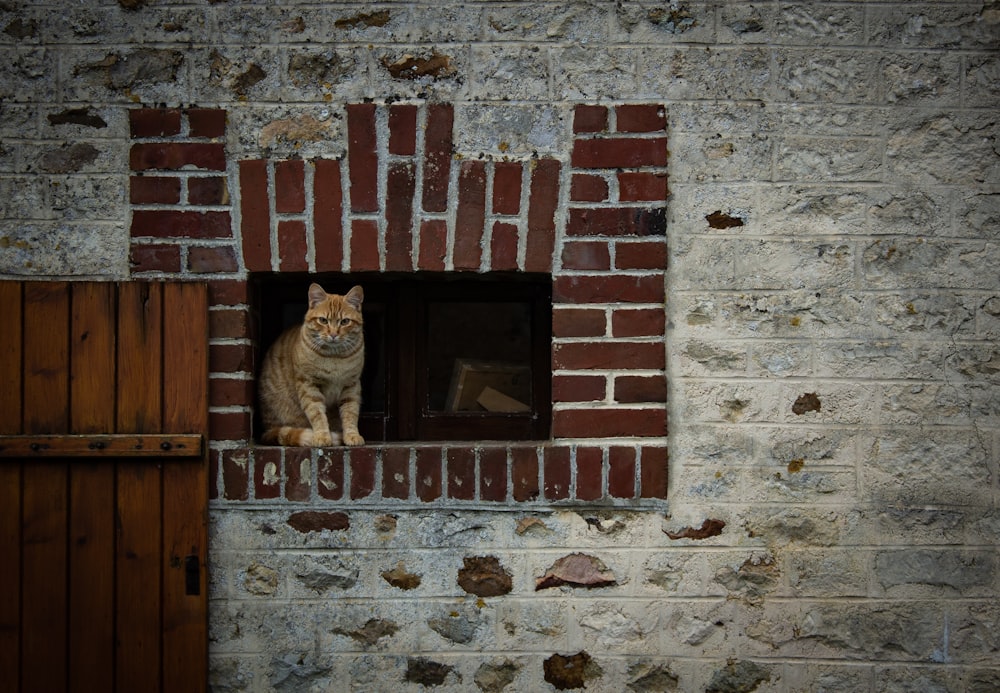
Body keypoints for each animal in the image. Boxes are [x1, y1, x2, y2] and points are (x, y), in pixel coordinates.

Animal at [260, 284, 366, 446]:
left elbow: (350, 413)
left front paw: (352, 435)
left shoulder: (351, 386)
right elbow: (317, 414)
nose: (333, 334)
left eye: (344, 322)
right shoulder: (309, 385)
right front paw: (322, 436)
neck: (335, 357)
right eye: (323, 320)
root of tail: (267, 430)